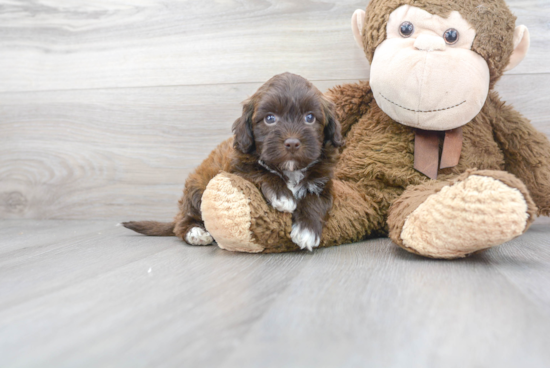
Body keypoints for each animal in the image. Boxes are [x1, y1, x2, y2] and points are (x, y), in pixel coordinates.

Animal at [124, 72, 344, 250]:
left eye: (310, 118)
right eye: (270, 119)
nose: (292, 143)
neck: (290, 169)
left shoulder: (323, 182)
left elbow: (315, 201)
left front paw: (307, 231)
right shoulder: (237, 168)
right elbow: (261, 171)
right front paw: (282, 195)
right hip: (196, 189)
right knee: (181, 222)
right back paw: (196, 233)